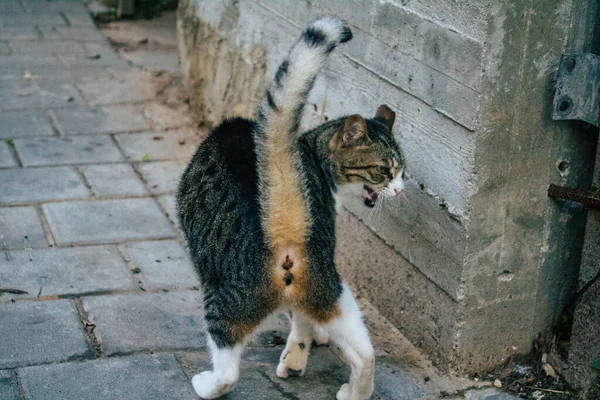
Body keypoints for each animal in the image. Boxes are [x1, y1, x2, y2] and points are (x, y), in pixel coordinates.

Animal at [176, 16, 406, 400]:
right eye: (385, 171)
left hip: (222, 295)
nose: (401, 189)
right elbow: (302, 322)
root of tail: (284, 223)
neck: (310, 152)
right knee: (365, 354)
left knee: (227, 365)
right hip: (331, 288)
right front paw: (303, 350)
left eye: (402, 171)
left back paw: (206, 383)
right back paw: (353, 390)